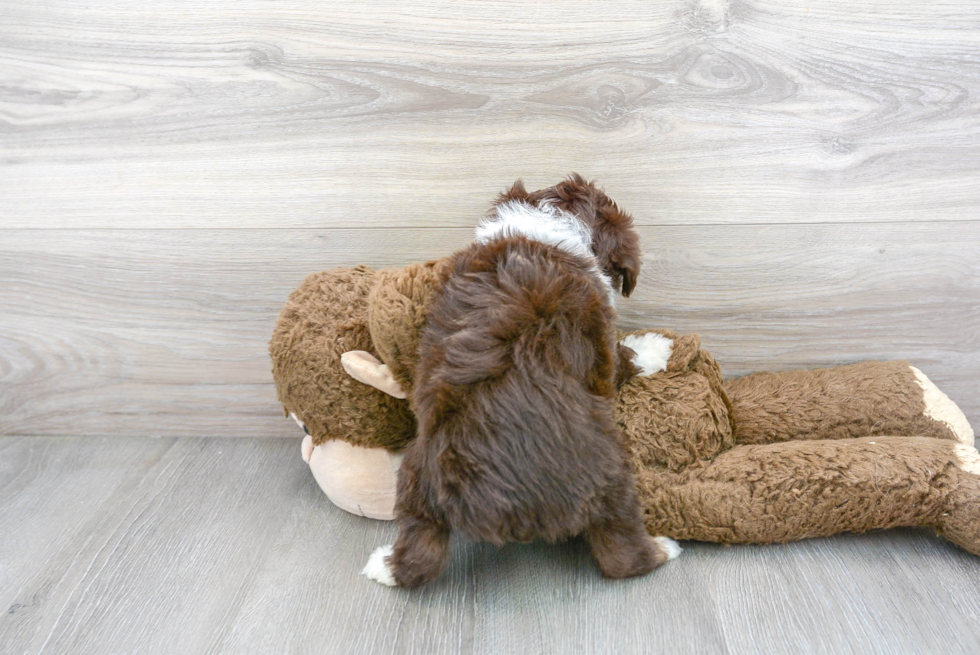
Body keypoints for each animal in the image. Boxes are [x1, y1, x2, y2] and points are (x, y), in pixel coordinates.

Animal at [362, 176, 680, 588]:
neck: (545, 224)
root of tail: (484, 492)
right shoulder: (603, 347)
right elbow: (626, 357)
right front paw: (657, 348)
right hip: (610, 473)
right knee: (620, 554)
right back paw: (662, 549)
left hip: (416, 477)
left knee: (419, 555)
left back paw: (383, 565)